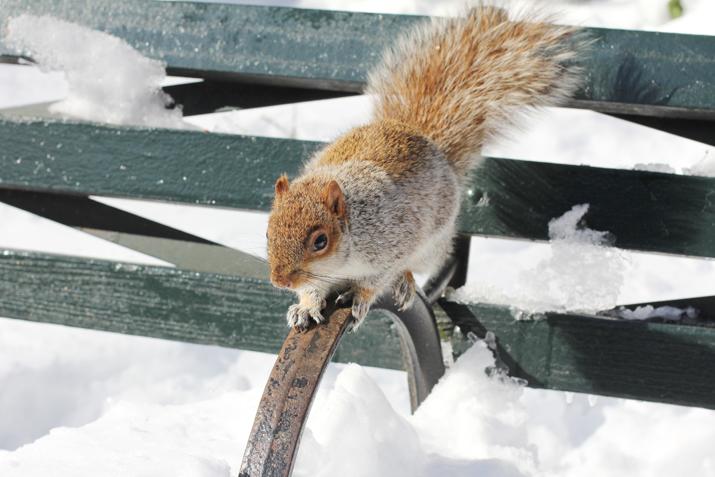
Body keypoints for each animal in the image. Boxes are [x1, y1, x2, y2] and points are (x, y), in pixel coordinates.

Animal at [266, 7, 584, 330]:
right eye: (267, 234)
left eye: (320, 241)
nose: (280, 281)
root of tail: (422, 137)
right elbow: (312, 290)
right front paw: (305, 306)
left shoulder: (391, 244)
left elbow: (376, 279)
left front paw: (359, 296)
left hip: (431, 246)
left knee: (413, 265)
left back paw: (405, 281)